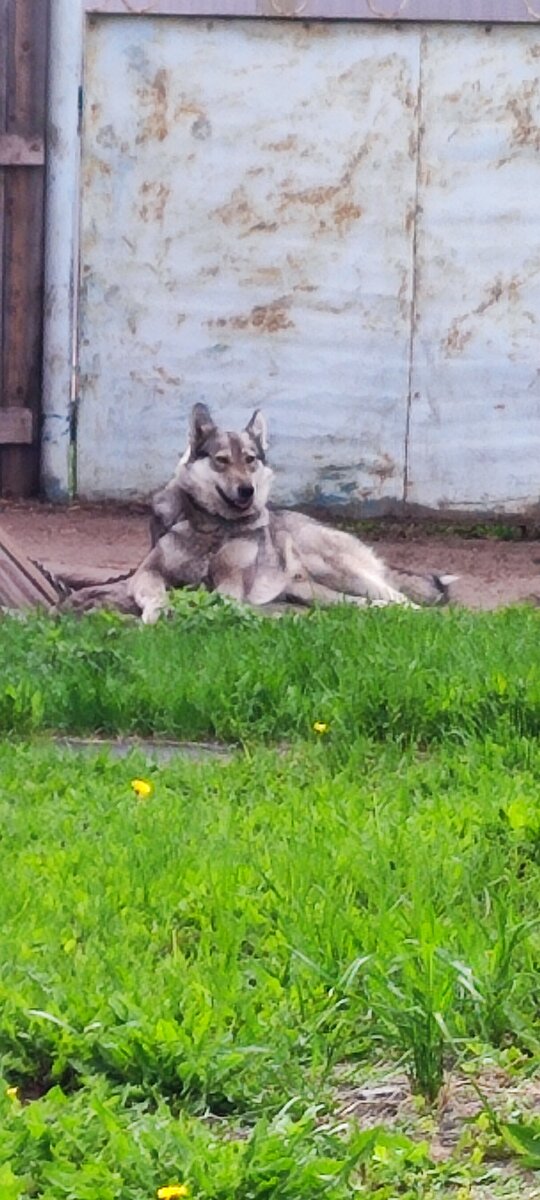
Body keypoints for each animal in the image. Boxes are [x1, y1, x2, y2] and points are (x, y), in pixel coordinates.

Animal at [61, 408, 453, 624]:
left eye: (250, 459)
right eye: (221, 460)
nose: (247, 490)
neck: (213, 529)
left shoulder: (230, 588)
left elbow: (207, 600)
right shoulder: (148, 573)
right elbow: (152, 593)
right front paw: (152, 611)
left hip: (337, 570)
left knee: (402, 599)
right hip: (317, 592)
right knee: (364, 605)